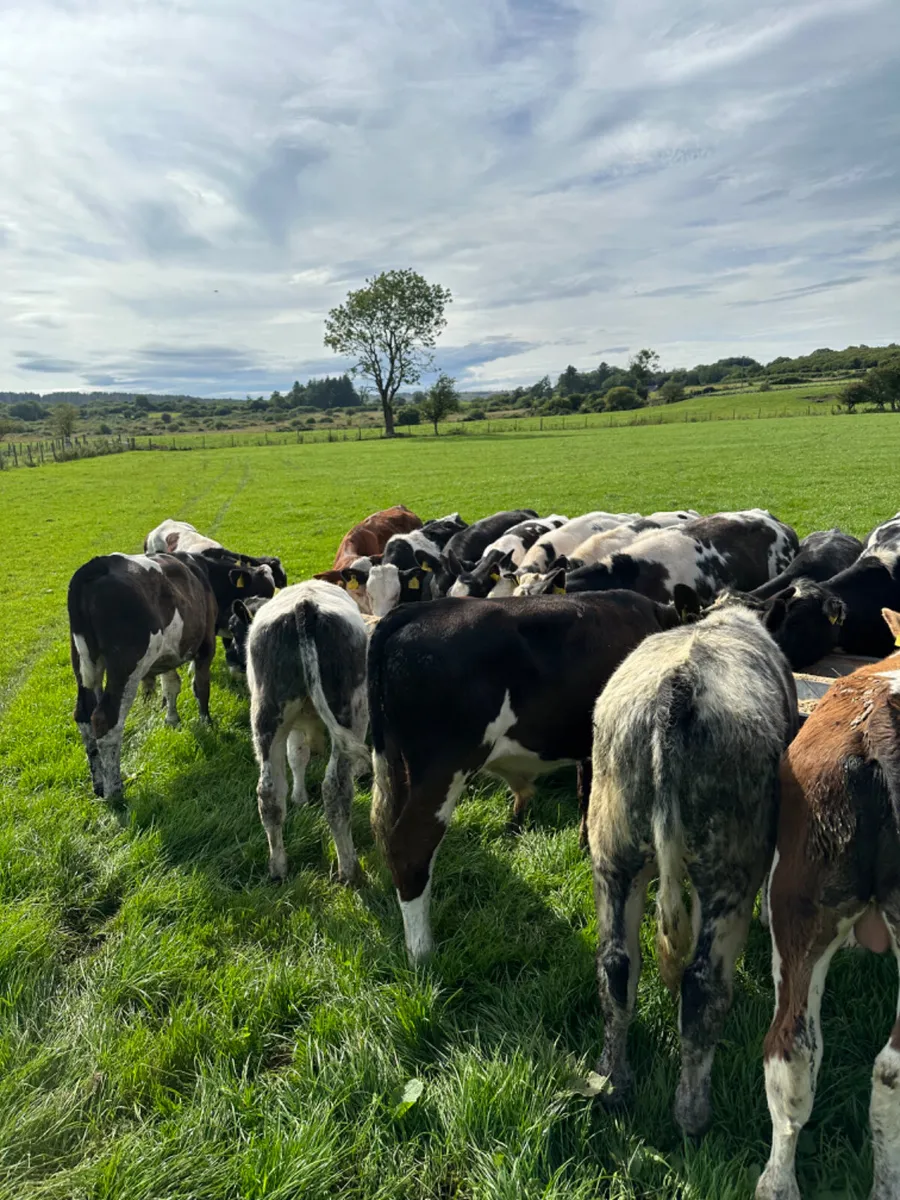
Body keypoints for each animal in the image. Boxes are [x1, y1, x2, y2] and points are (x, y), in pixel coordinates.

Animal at [68, 551, 275, 799]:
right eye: (266, 588)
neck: (205, 573)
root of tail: (97, 565)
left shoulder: (168, 655)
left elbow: (171, 686)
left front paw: (172, 719)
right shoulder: (206, 643)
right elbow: (201, 686)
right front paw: (206, 722)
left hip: (84, 666)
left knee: (83, 715)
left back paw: (99, 784)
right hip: (126, 668)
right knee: (105, 719)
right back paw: (115, 792)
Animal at [246, 581, 370, 884]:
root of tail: (305, 605)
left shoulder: (293, 727)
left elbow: (297, 757)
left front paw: (299, 798)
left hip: (268, 715)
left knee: (269, 792)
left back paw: (278, 868)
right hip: (351, 711)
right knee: (335, 789)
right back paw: (349, 869)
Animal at [367, 591, 682, 961]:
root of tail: (417, 609)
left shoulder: (591, 748)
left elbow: (586, 797)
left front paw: (585, 848)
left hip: (399, 765)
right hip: (442, 768)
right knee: (411, 845)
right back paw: (422, 952)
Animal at [588, 596, 798, 1137]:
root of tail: (675, 692)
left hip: (614, 852)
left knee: (616, 966)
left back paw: (613, 1082)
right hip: (728, 867)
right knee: (703, 986)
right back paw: (692, 1115)